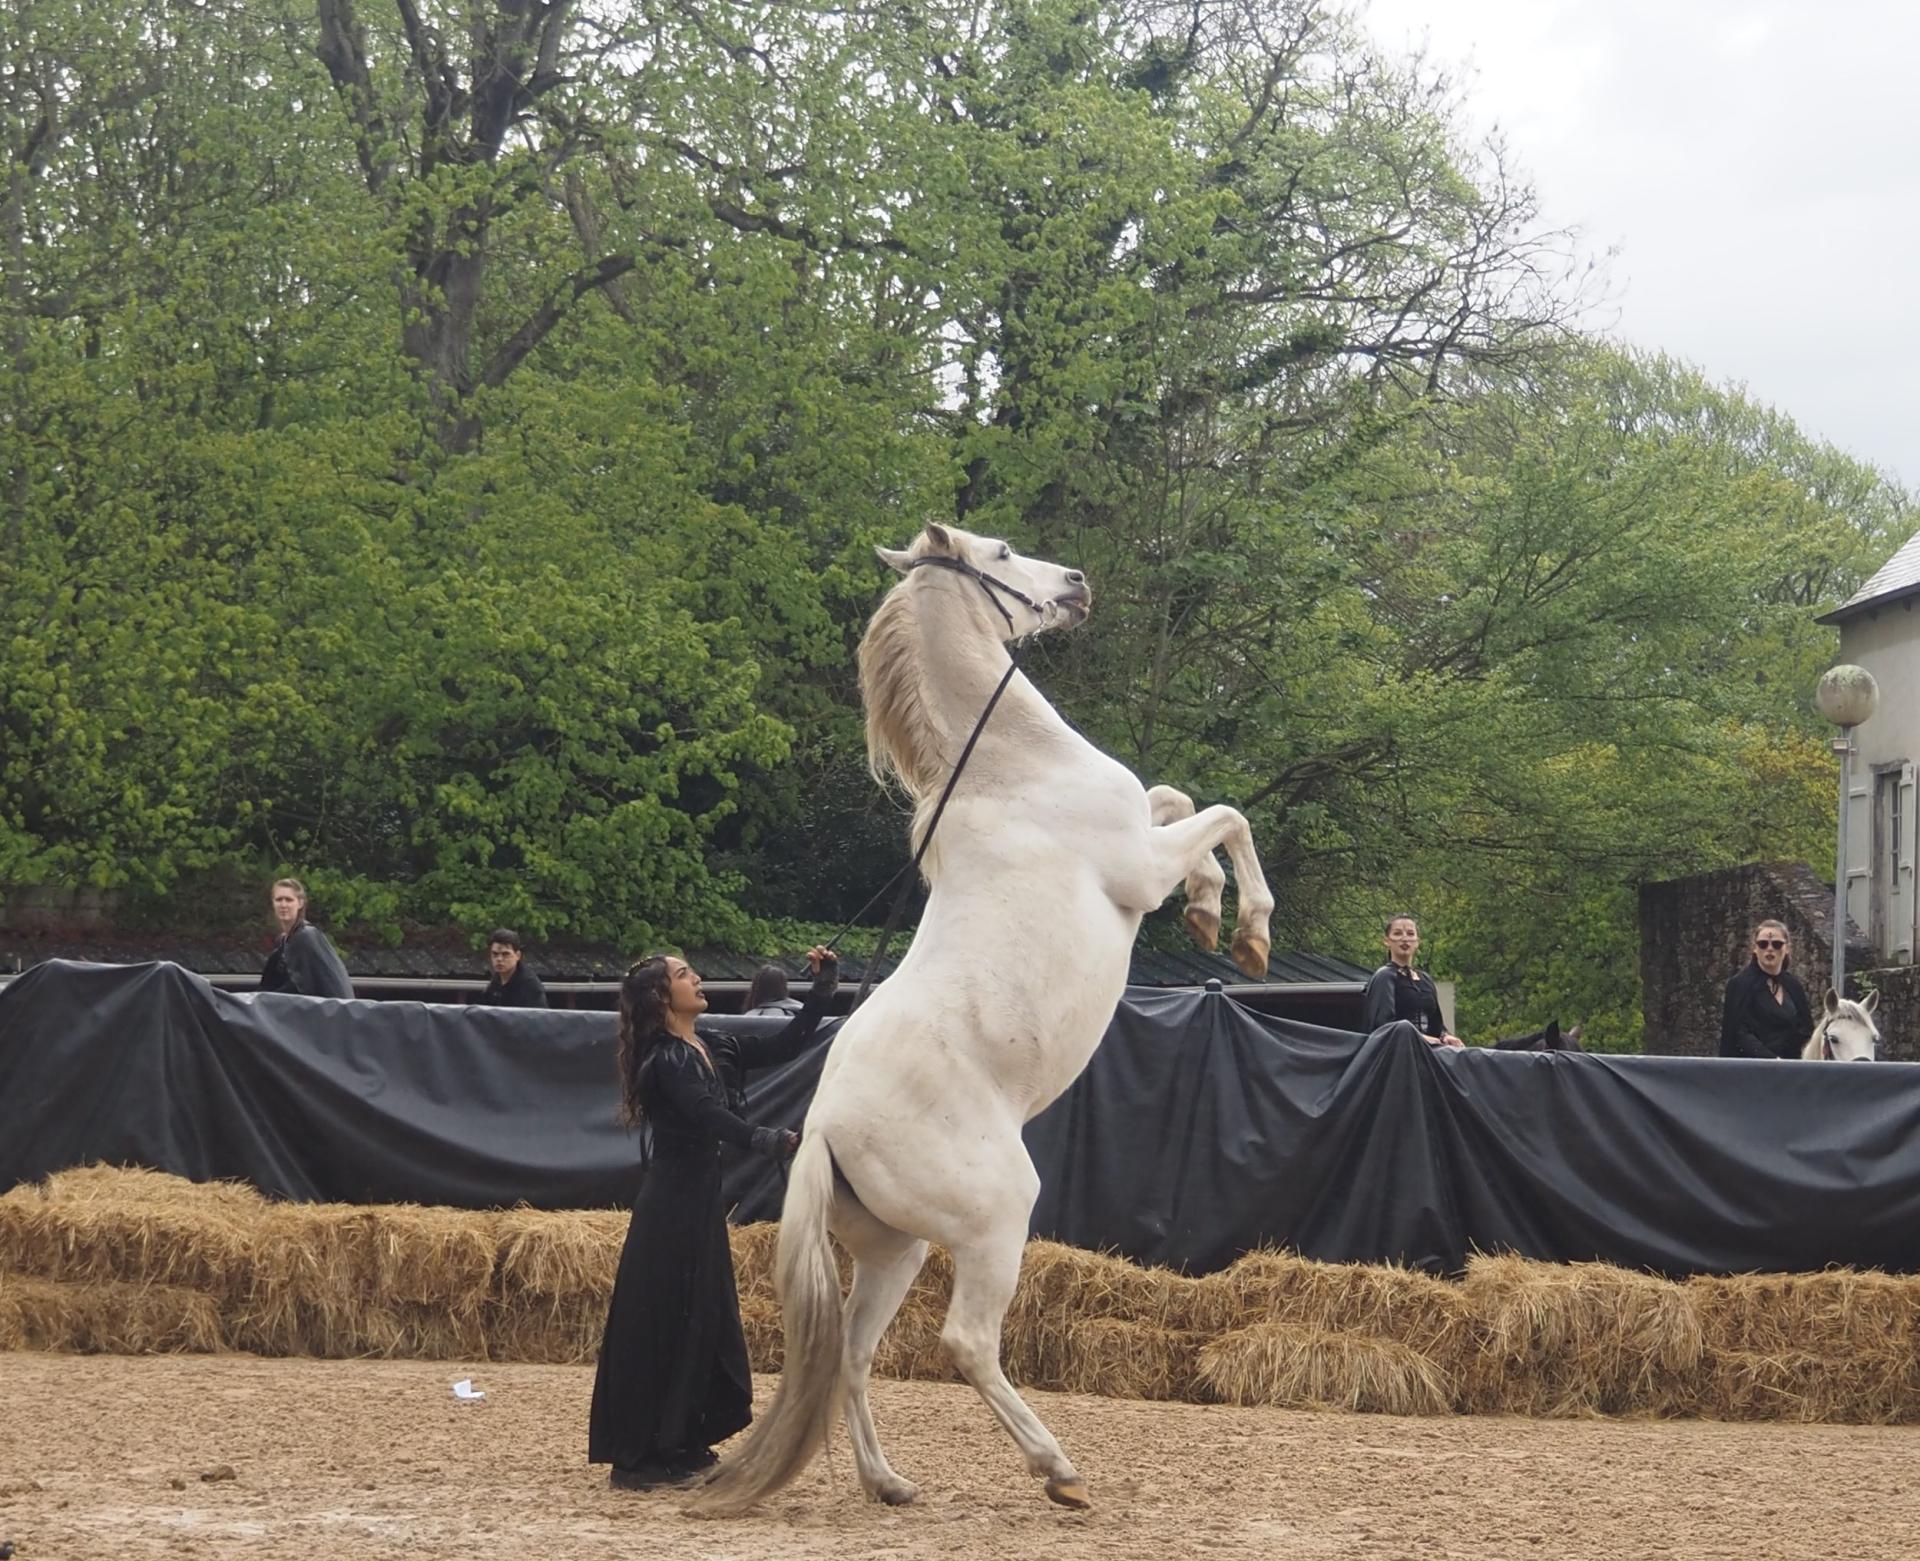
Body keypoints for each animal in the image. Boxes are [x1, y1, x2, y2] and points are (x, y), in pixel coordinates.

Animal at [695, 522, 1274, 1512]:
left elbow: (1177, 797)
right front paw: (1242, 929)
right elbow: (1222, 813)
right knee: (965, 1342)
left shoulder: (1145, 828)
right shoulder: (1138, 867)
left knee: (855, 1353)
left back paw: (889, 1481)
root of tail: (822, 1132)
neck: (1013, 768)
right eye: (1001, 553)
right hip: (998, 1219)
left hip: (895, 1253)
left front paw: (1207, 908)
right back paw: (1057, 1469)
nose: (1075, 583)